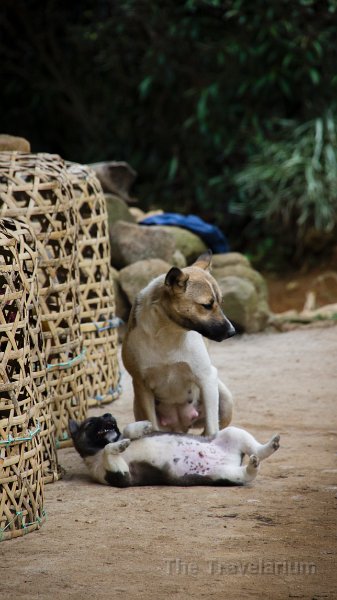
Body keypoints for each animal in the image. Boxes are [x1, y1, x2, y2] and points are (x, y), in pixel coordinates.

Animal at [68, 412, 278, 488]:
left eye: (106, 416)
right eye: (90, 423)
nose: (108, 414)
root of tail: (232, 459)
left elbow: (126, 431)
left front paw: (142, 426)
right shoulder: (122, 476)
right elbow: (108, 450)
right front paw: (118, 446)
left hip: (233, 433)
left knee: (257, 449)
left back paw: (270, 445)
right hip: (224, 474)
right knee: (248, 473)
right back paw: (253, 465)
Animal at [122, 250, 235, 436]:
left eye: (220, 303)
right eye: (207, 305)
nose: (233, 332)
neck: (168, 333)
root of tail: (181, 426)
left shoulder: (207, 378)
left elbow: (212, 429)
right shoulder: (141, 386)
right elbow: (152, 427)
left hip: (224, 398)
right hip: (138, 405)